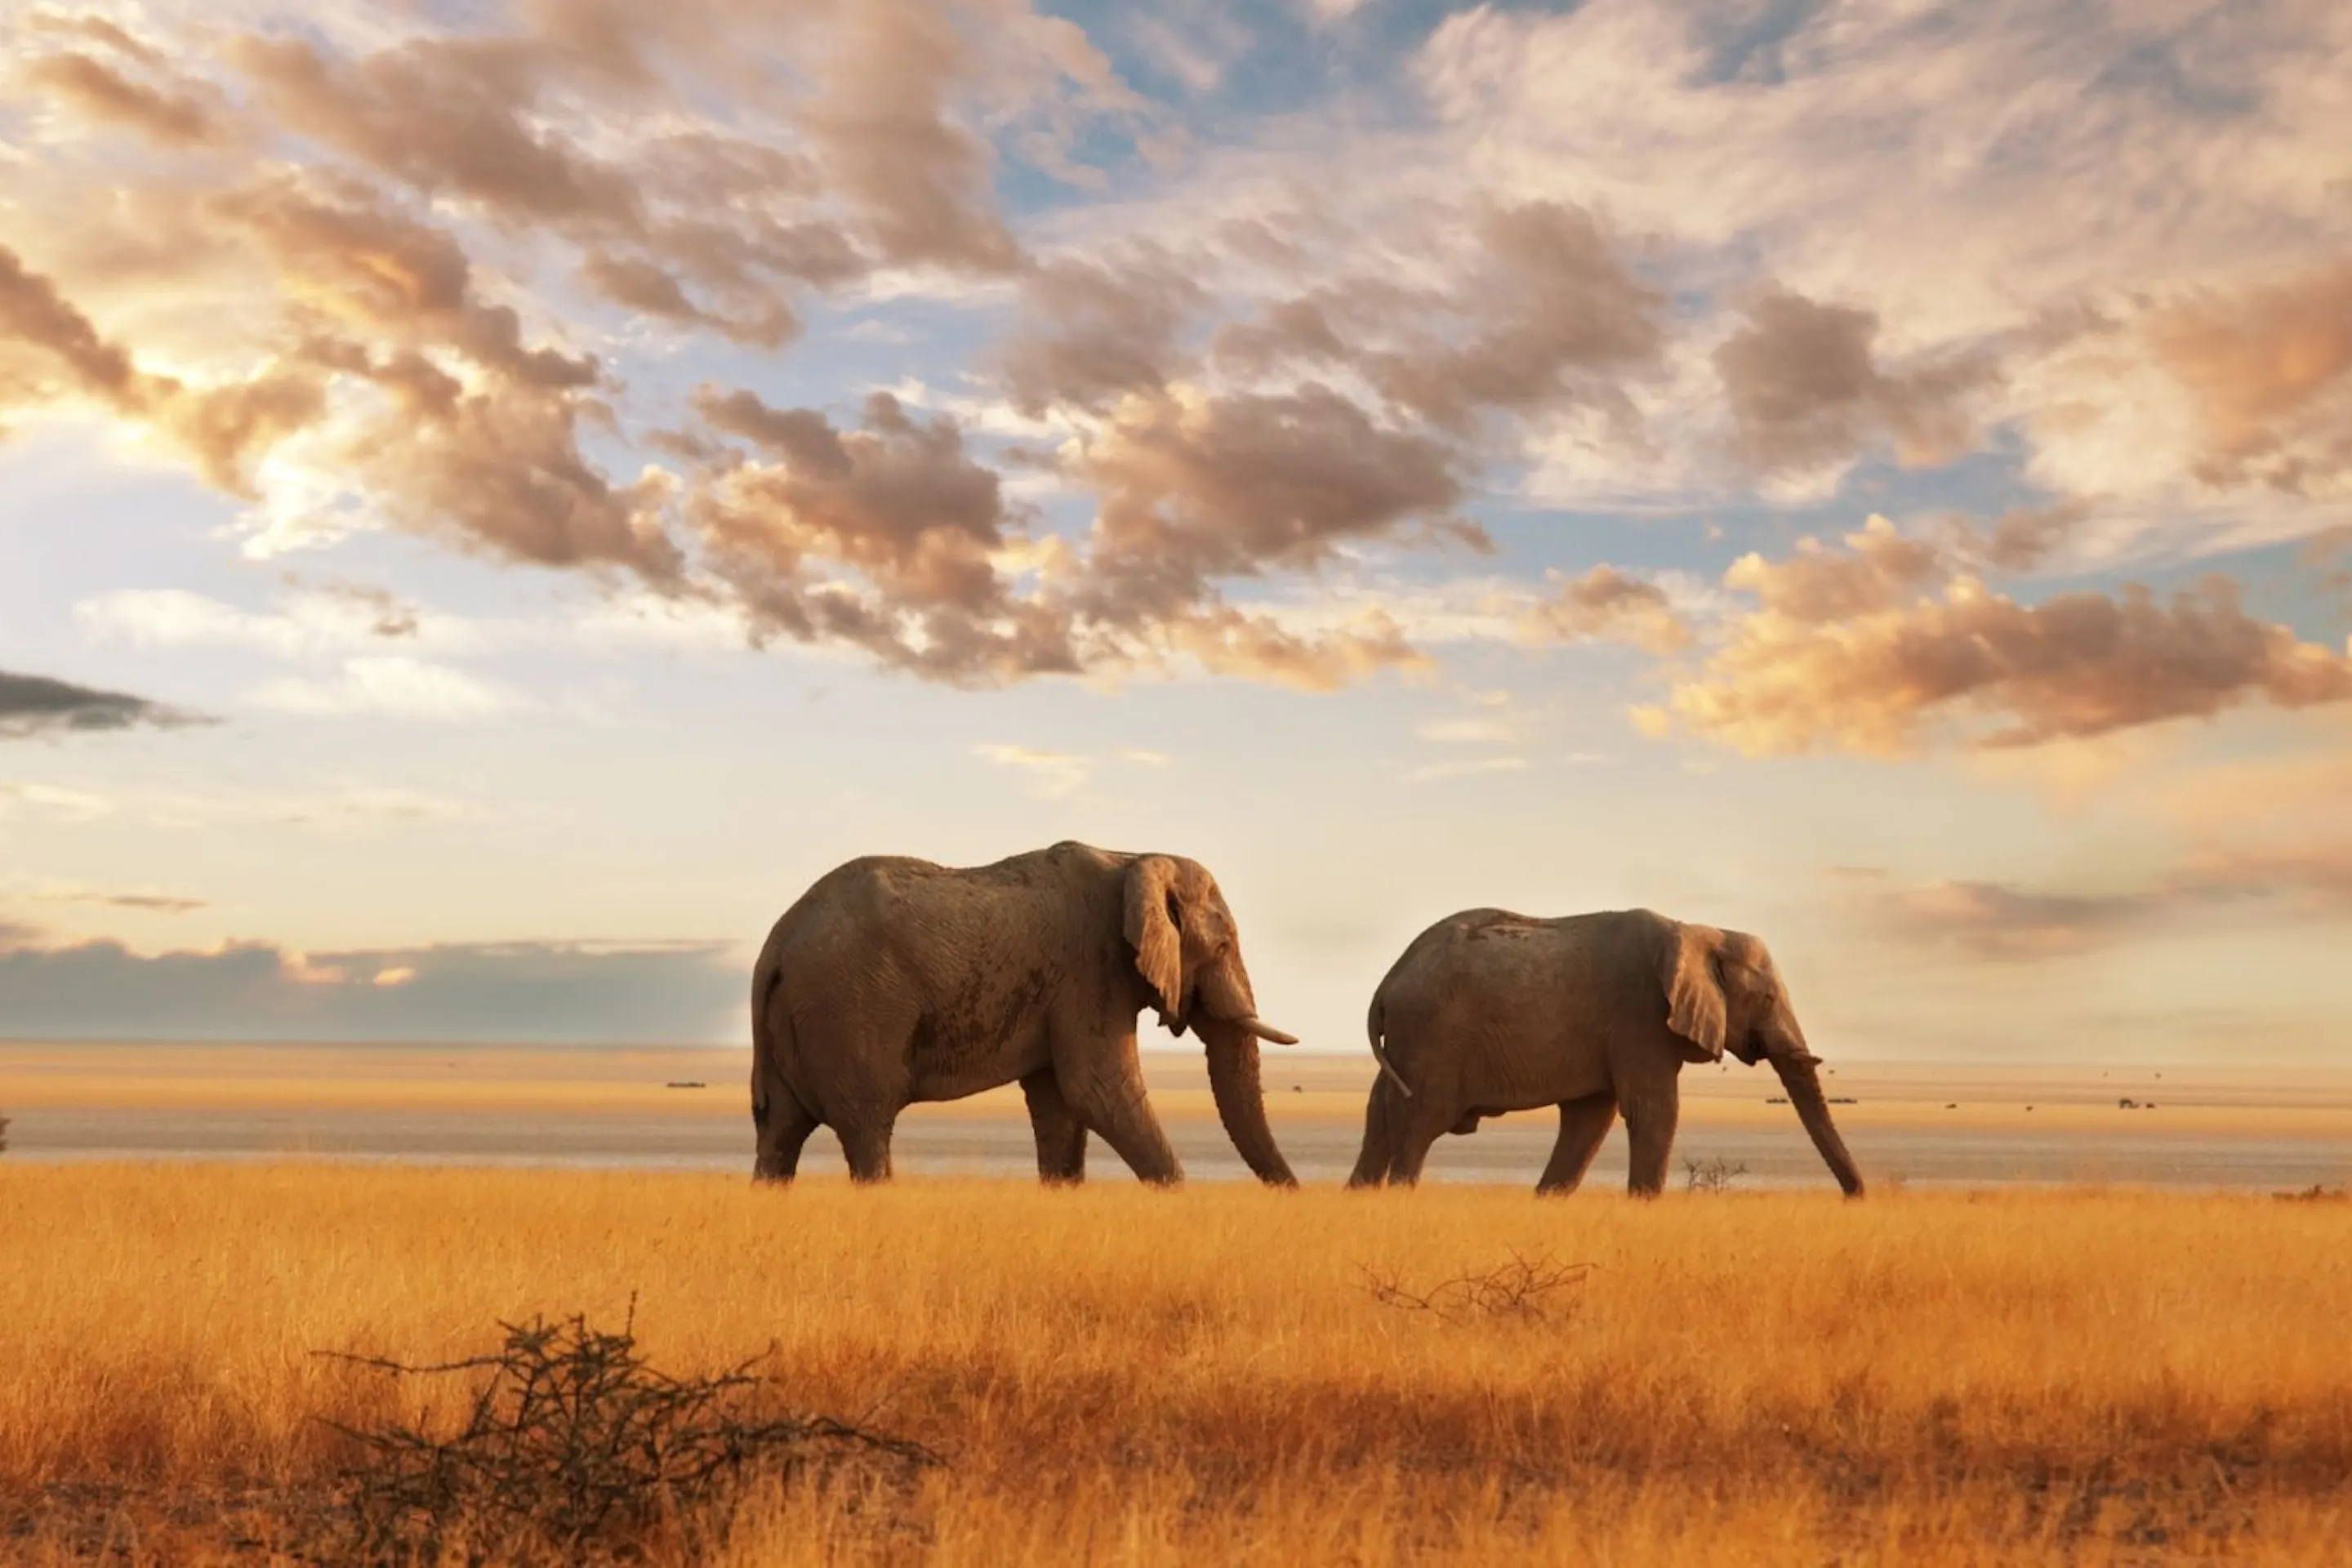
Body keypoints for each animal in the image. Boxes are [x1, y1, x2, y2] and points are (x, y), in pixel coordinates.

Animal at [749, 840, 1300, 1187]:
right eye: (1223, 946)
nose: (1292, 1194)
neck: (1135, 857)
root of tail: (775, 945)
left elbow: (1060, 1104)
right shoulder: (1089, 971)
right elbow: (1097, 1090)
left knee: (780, 1131)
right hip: (850, 1010)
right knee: (867, 1126)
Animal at [1347, 907, 1865, 1198]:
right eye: (1770, 999)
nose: (1856, 1197)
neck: (1699, 932)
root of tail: (1387, 983)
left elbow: (1590, 1118)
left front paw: (1548, 1200)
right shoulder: (1640, 1017)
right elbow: (1653, 1110)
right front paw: (1645, 1205)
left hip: (1409, 1042)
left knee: (1380, 1119)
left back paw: (1359, 1196)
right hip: (1433, 1038)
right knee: (1419, 1125)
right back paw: (1400, 1197)